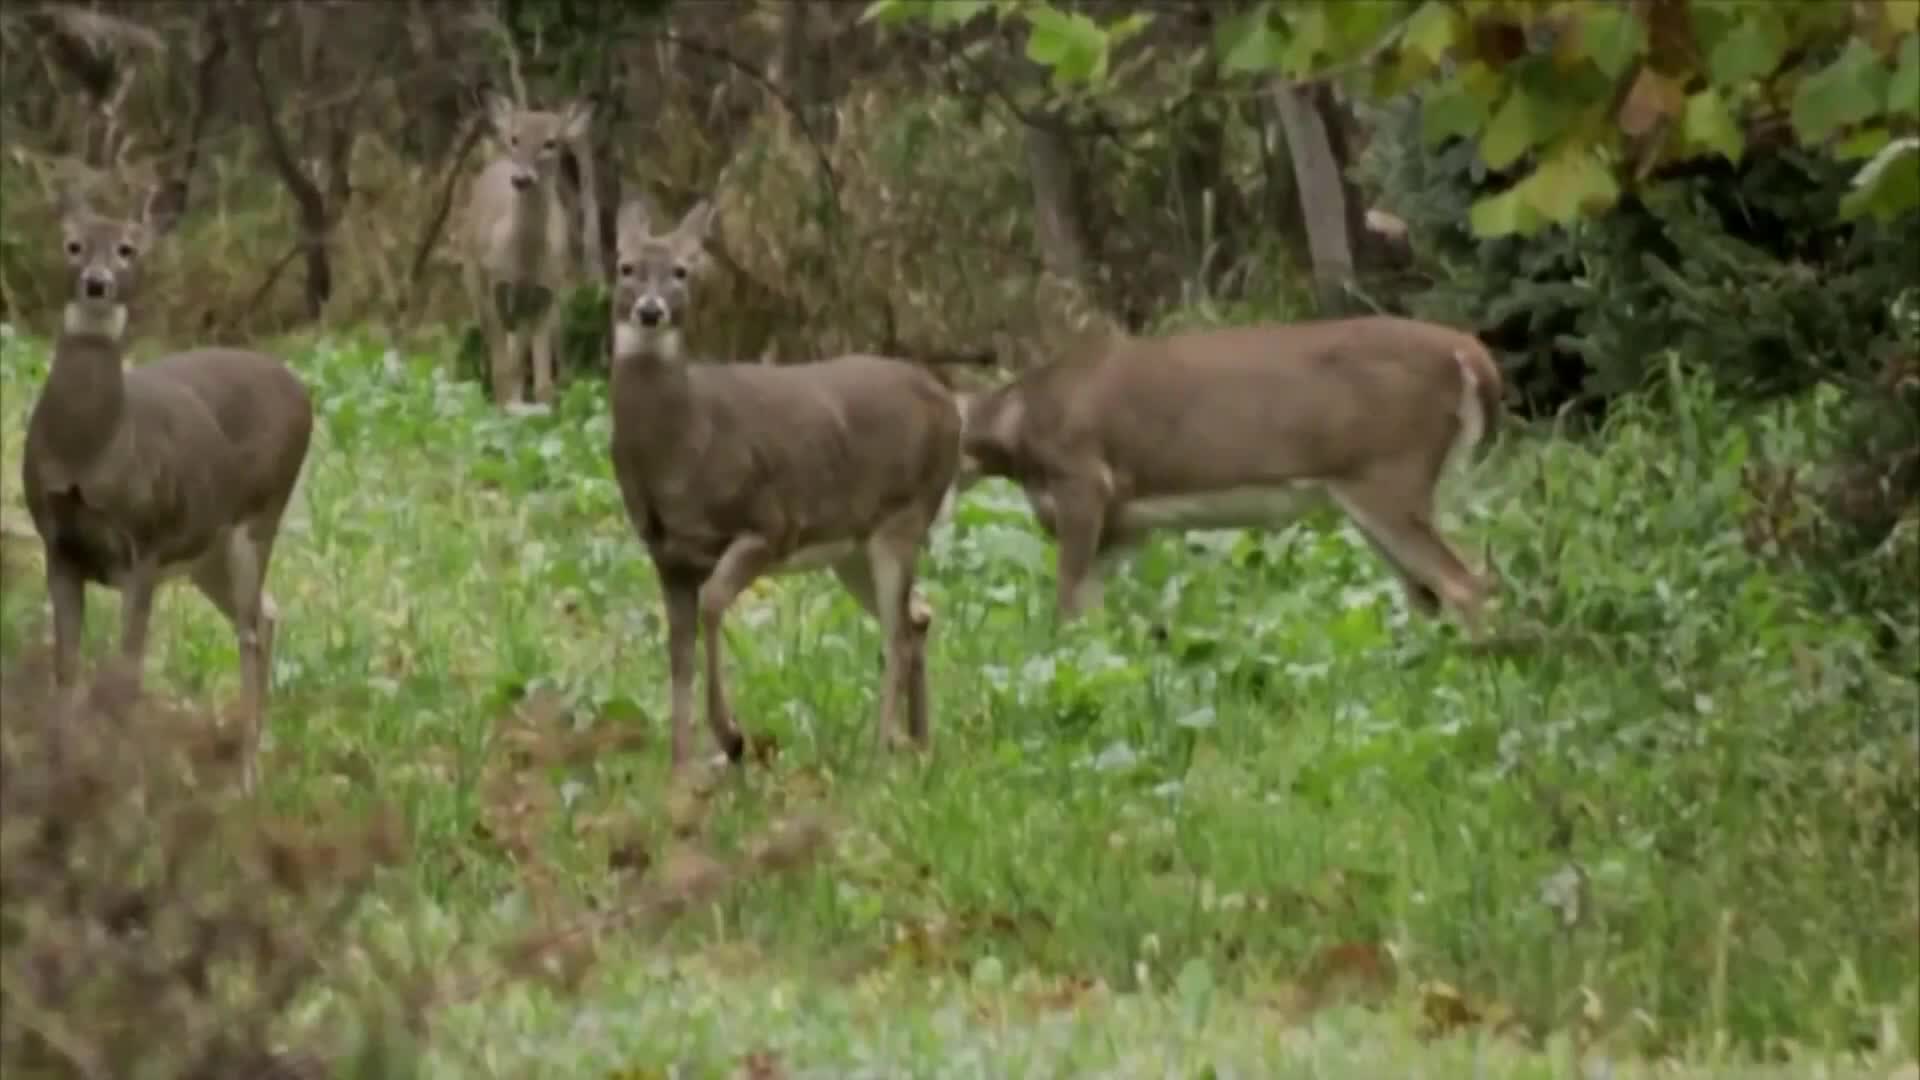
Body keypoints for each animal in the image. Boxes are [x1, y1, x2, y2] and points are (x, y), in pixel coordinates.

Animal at [21, 181, 315, 793]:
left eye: (128, 249)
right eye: (73, 244)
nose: (97, 283)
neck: (90, 453)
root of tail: (303, 390)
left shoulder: (145, 543)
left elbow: (125, 673)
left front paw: (118, 784)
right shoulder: (57, 542)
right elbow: (67, 667)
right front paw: (57, 773)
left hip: (258, 517)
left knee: (250, 630)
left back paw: (246, 776)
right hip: (206, 552)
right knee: (268, 611)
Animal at [459, 93, 593, 408]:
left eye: (550, 142)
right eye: (515, 138)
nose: (521, 178)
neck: (523, 262)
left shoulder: (546, 293)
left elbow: (542, 382)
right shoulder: (493, 286)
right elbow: (501, 371)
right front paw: (502, 409)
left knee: (521, 356)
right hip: (474, 282)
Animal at [606, 195, 962, 771]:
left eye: (683, 270)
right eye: (625, 267)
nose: (651, 310)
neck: (684, 446)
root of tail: (953, 406)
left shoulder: (771, 524)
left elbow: (713, 605)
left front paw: (731, 736)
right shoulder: (666, 553)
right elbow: (678, 656)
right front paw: (680, 766)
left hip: (904, 514)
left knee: (898, 632)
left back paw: (879, 751)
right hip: (851, 547)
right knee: (920, 615)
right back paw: (920, 742)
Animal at [956, 316, 1505, 634]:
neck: (1019, 428)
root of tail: (1471, 356)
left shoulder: (1084, 482)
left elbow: (1066, 601)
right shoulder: (1124, 523)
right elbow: (1090, 608)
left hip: (1388, 471)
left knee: (1463, 581)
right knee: (1427, 591)